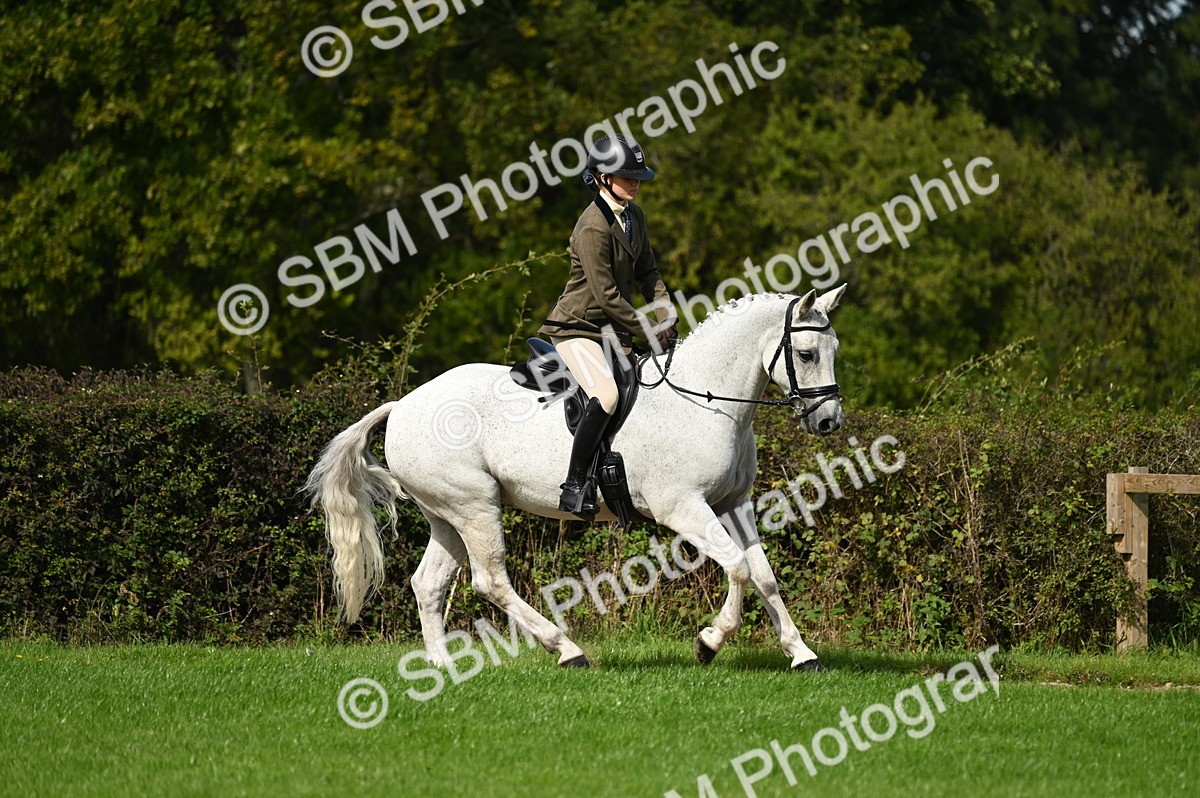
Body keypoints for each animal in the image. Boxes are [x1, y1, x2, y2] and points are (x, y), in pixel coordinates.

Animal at [305, 285, 846, 670]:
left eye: (834, 348)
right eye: (805, 354)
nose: (828, 422)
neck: (705, 399)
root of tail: (403, 405)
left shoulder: (733, 503)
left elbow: (764, 575)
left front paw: (802, 655)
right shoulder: (683, 507)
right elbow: (737, 568)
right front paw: (709, 642)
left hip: (447, 515)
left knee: (429, 583)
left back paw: (440, 666)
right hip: (475, 506)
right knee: (490, 580)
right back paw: (566, 649)